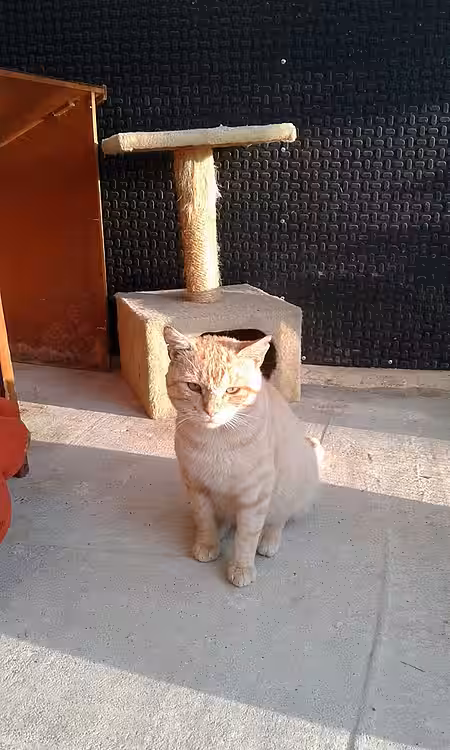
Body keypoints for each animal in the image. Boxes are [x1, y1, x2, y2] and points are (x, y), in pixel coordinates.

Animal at [164, 326, 323, 587]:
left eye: (232, 390)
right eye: (194, 387)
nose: (211, 411)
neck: (215, 440)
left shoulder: (254, 496)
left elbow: (246, 537)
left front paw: (241, 567)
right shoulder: (197, 486)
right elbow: (204, 519)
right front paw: (207, 543)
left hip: (286, 490)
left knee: (278, 519)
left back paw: (269, 540)